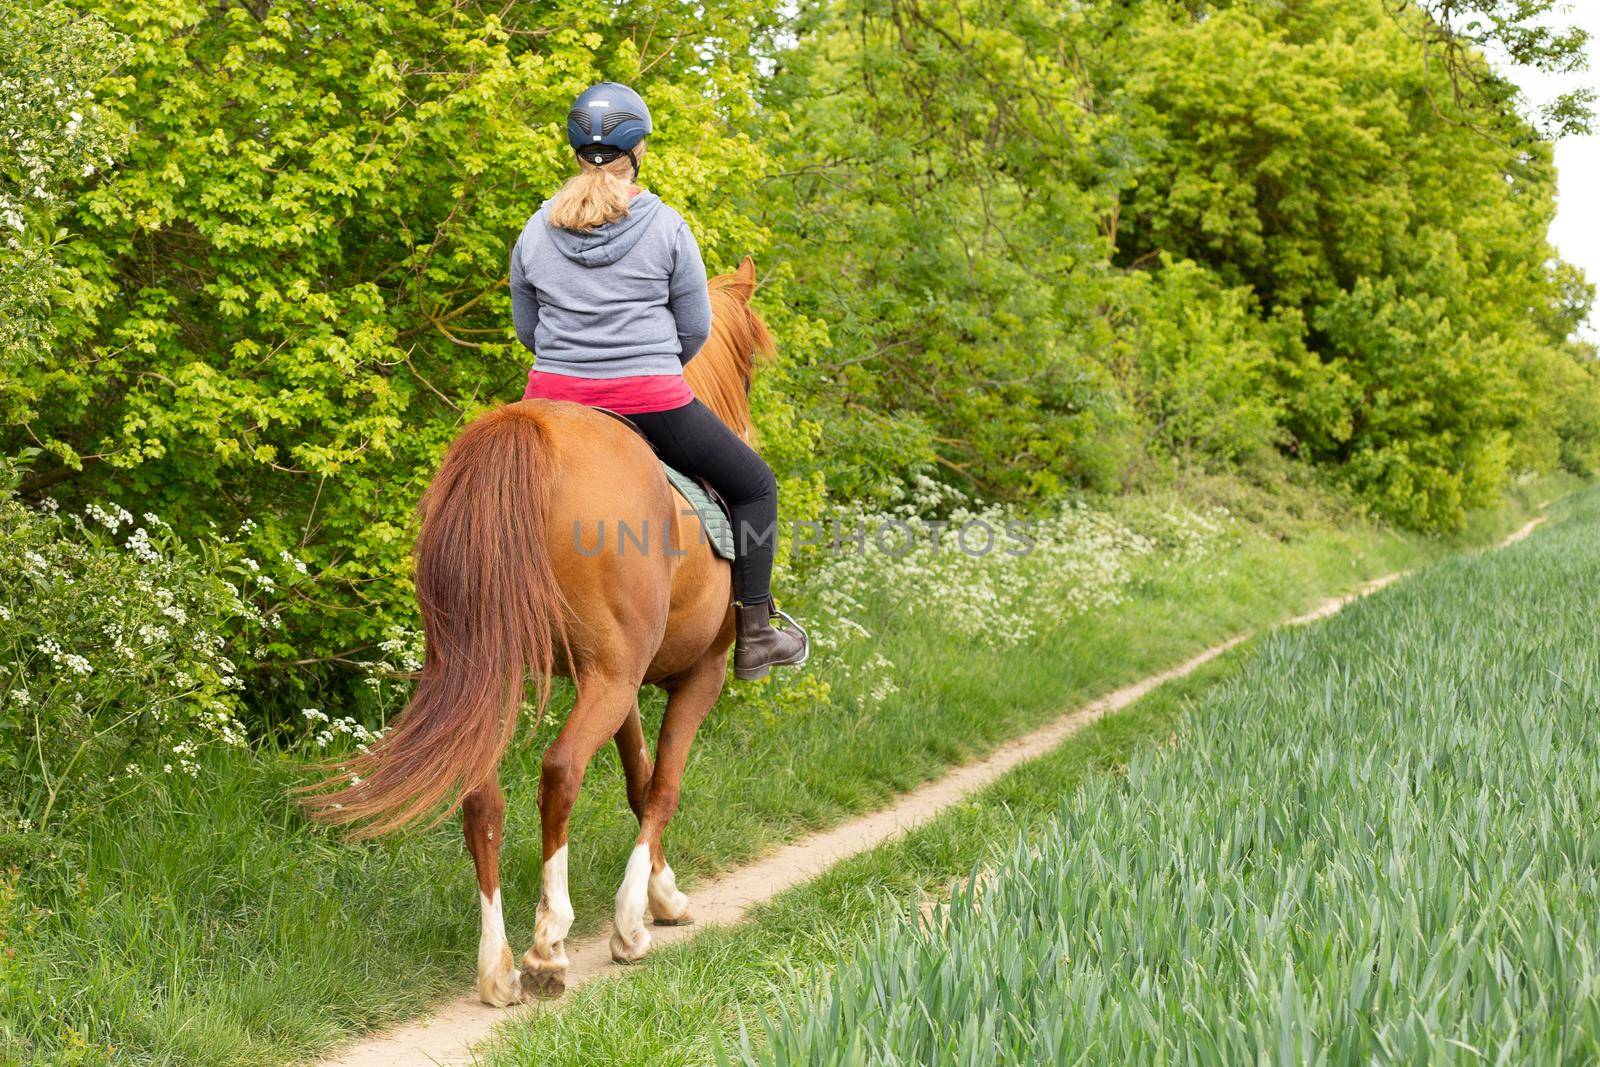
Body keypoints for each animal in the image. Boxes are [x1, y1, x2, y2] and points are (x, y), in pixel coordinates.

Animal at [304, 255, 774, 1004]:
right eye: (752, 359)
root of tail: (524, 432)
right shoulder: (690, 674)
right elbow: (662, 784)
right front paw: (635, 920)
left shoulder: (614, 678)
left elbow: (638, 778)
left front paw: (661, 895)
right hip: (605, 678)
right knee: (560, 772)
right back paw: (549, 942)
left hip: (498, 673)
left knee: (482, 797)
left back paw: (497, 965)